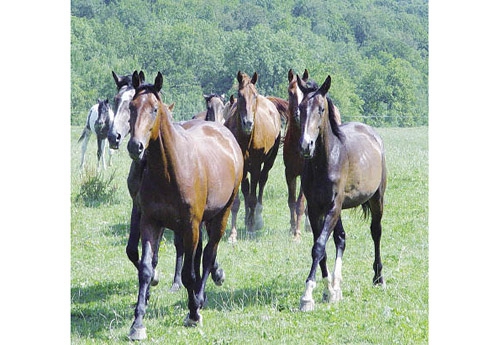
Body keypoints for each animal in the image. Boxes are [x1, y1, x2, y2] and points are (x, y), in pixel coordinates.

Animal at [125, 70, 242, 338]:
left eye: (154, 109)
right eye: (131, 107)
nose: (135, 146)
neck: (170, 171)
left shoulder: (190, 225)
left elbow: (189, 272)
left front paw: (193, 314)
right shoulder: (151, 222)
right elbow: (145, 269)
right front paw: (138, 324)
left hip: (220, 215)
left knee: (208, 253)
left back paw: (200, 297)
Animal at [225, 71, 284, 241]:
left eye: (255, 95)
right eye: (240, 94)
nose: (248, 123)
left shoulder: (256, 165)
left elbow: (252, 196)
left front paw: (251, 227)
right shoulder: (242, 167)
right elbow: (240, 198)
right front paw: (233, 234)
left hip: (268, 162)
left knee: (261, 183)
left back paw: (256, 218)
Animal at [284, 68, 342, 239]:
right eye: (290, 92)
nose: (297, 114)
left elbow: (300, 204)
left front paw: (297, 233)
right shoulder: (289, 173)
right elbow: (291, 202)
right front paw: (292, 227)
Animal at [294, 74, 388, 312]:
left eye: (321, 109)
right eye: (301, 108)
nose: (305, 146)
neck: (325, 162)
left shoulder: (332, 207)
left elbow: (319, 247)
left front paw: (307, 296)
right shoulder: (315, 209)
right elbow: (322, 249)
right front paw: (328, 289)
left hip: (377, 199)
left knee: (376, 232)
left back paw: (379, 278)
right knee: (341, 239)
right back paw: (337, 286)